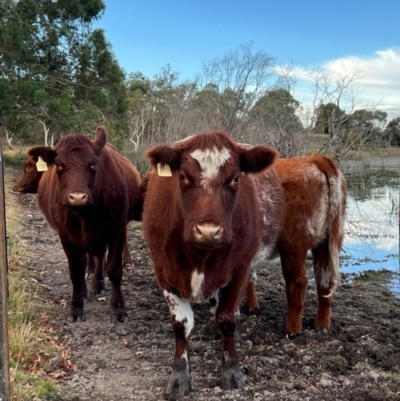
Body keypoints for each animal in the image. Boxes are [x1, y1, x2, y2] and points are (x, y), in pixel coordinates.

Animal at [28, 126, 141, 322]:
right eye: (59, 165)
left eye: (93, 164)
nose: (77, 197)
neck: (86, 215)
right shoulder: (65, 235)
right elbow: (76, 271)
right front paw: (76, 307)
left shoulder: (116, 230)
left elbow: (114, 269)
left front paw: (119, 309)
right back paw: (85, 292)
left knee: (99, 257)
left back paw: (98, 284)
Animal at [142, 130, 286, 396]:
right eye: (183, 176)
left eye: (236, 178)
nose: (208, 231)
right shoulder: (163, 271)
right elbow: (181, 325)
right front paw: (179, 376)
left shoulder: (239, 268)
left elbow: (226, 319)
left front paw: (231, 371)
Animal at [244, 154, 346, 334]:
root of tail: (315, 158)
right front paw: (251, 307)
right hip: (326, 244)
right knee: (324, 282)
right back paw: (321, 325)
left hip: (292, 245)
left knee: (297, 282)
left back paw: (292, 330)